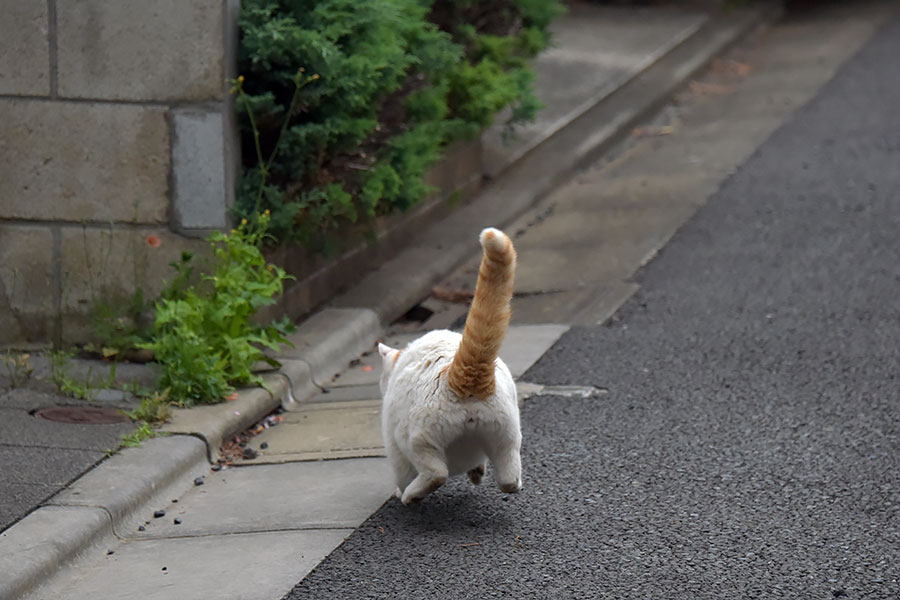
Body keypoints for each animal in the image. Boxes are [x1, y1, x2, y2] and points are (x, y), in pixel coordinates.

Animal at [378, 227, 520, 504]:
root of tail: (463, 372)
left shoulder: (395, 445)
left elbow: (401, 474)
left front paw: (400, 491)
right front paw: (477, 472)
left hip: (417, 439)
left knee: (436, 473)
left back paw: (412, 495)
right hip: (506, 433)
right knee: (509, 474)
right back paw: (509, 483)